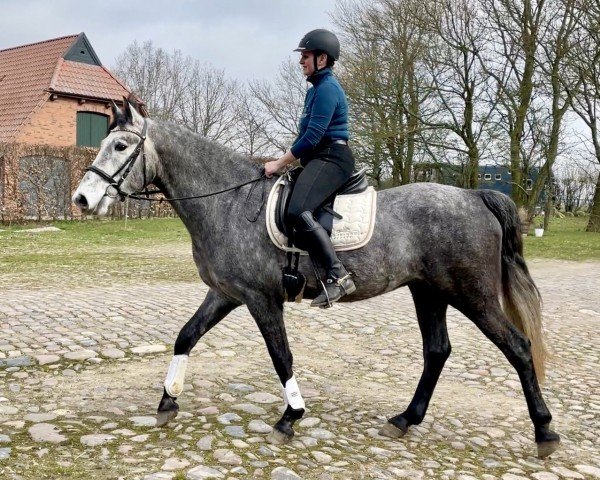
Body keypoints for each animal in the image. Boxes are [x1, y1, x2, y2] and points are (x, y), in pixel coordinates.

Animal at [72, 103, 560, 460]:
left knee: (518, 347)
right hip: (429, 292)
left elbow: (281, 357)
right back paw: (405, 419)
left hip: (471, 294)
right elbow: (185, 336)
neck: (230, 203)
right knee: (437, 351)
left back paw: (544, 432)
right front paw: (168, 401)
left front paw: (291, 417)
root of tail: (475, 195)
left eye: (120, 145)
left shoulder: (261, 299)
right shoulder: (225, 294)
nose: (81, 199)